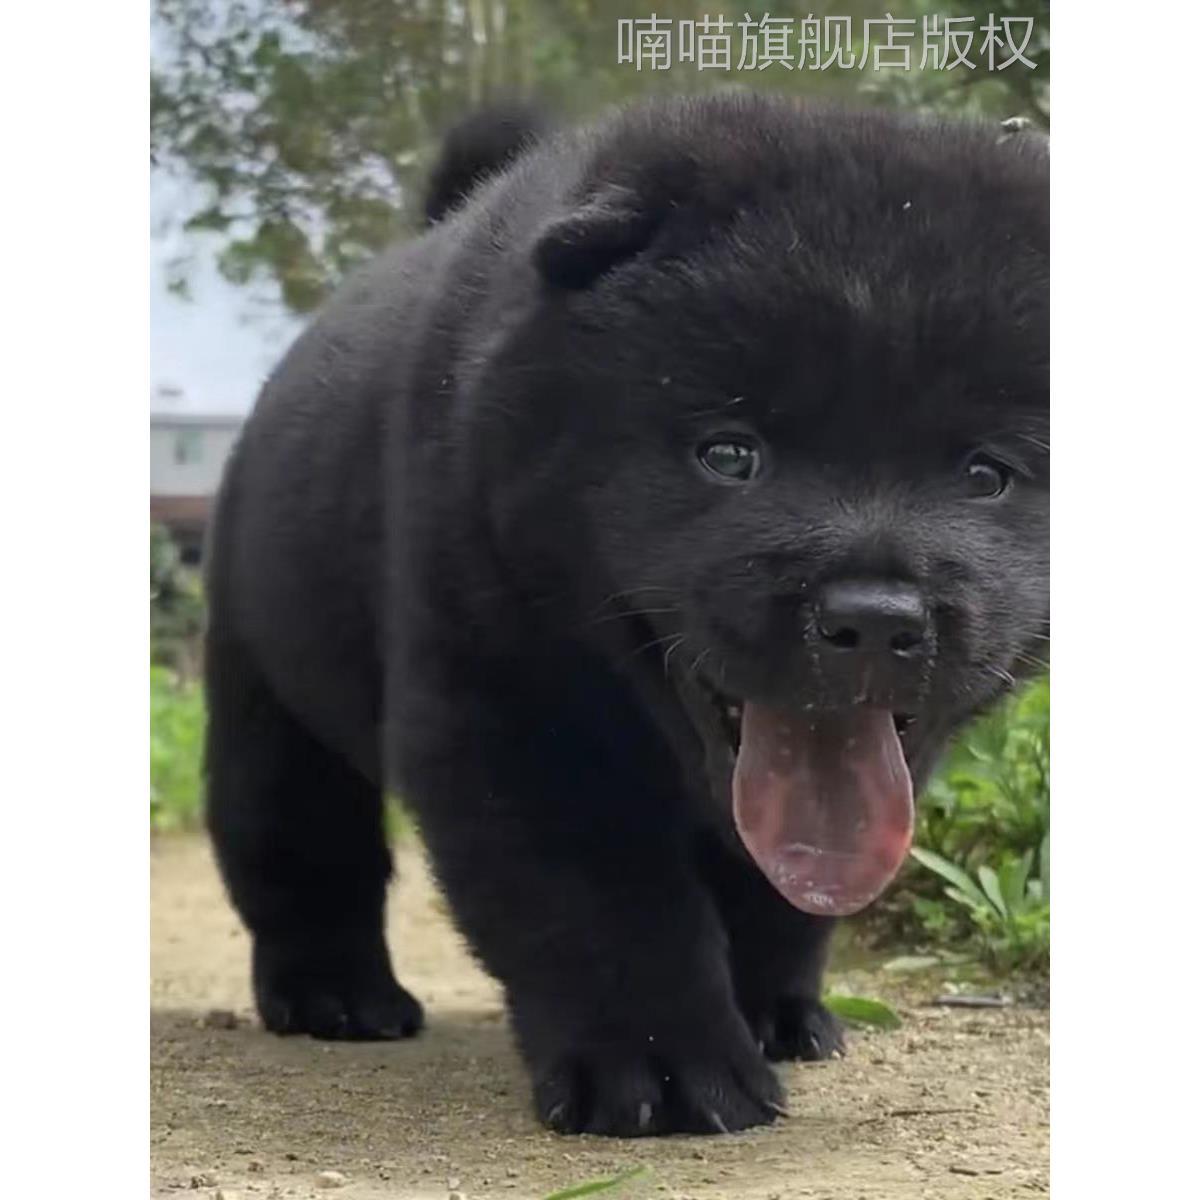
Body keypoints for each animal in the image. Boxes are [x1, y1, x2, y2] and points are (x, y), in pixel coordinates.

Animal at [208, 93, 1051, 1132]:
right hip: (267, 692)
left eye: (985, 475)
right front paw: (665, 1072)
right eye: (729, 454)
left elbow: (779, 895)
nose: (878, 617)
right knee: (298, 847)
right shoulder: (516, 709)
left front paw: (775, 1014)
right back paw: (337, 997)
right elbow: (601, 903)